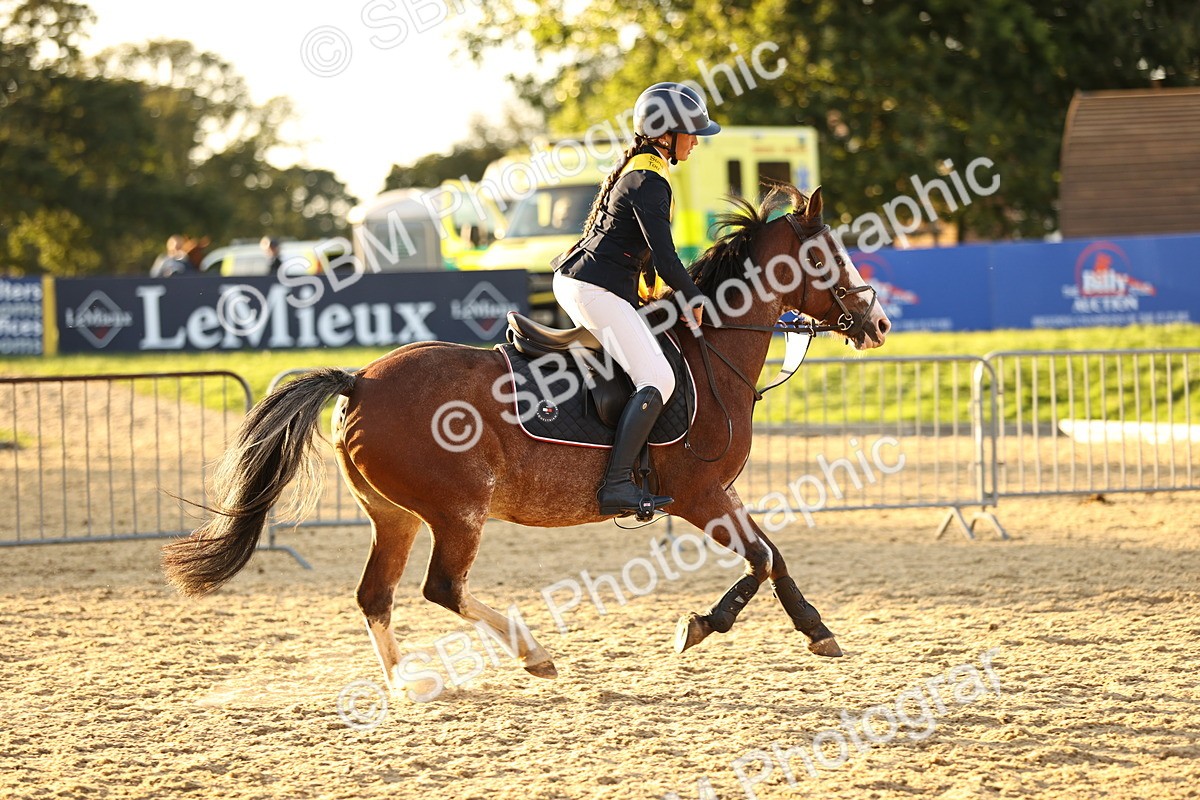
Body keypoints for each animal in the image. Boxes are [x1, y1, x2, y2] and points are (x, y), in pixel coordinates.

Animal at [163, 185, 892, 691]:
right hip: (457, 510)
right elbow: (762, 559)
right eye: (826, 256)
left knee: (377, 596)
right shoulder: (699, 495)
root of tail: (360, 381)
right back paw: (533, 654)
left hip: (395, 515)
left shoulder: (720, 495)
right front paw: (701, 627)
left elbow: (775, 557)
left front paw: (816, 631)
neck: (711, 353)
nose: (879, 323)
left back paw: (409, 686)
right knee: (441, 589)